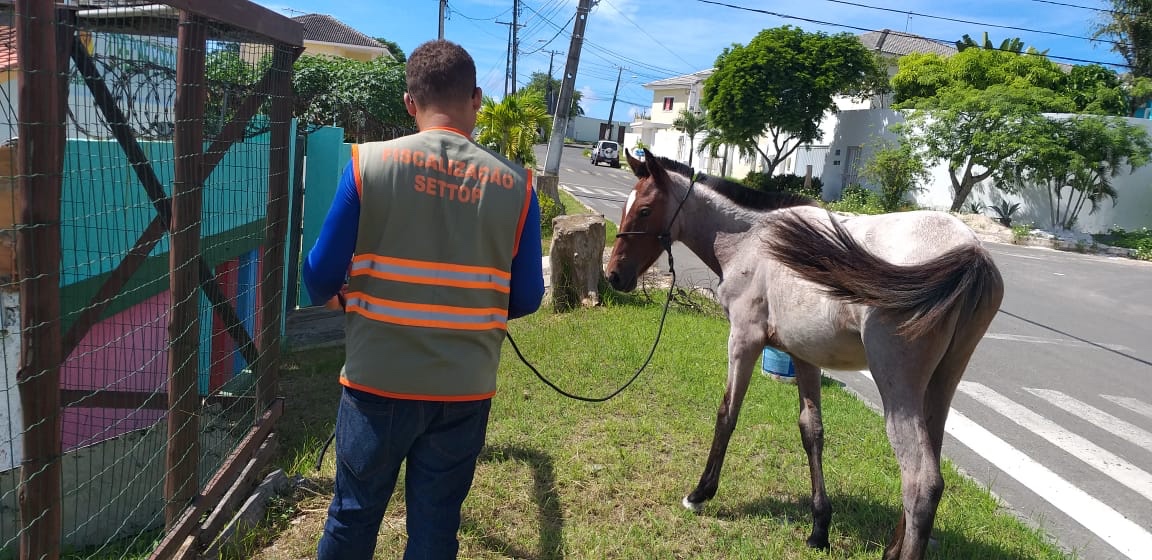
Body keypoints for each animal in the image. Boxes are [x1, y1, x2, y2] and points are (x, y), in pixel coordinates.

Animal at [605, 150, 1004, 560]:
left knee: (920, 480)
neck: (753, 241)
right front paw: (819, 528)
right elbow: (811, 431)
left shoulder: (743, 340)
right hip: (942, 382)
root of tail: (970, 251)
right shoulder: (804, 356)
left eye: (645, 210)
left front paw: (700, 493)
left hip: (897, 385)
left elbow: (727, 414)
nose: (614, 275)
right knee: (931, 468)